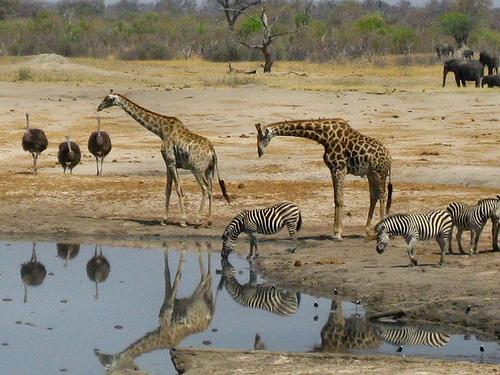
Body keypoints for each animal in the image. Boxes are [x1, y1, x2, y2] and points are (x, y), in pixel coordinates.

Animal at [96, 89, 231, 228]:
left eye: (108, 99)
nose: (98, 108)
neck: (161, 131)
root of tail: (212, 152)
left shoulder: (171, 161)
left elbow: (178, 189)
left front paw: (183, 220)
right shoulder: (168, 163)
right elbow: (168, 189)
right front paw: (164, 219)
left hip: (196, 169)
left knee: (205, 188)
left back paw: (198, 220)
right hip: (208, 170)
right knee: (211, 189)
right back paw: (209, 221)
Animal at [256, 119, 392, 239]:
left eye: (261, 137)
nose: (259, 152)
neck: (325, 137)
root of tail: (389, 156)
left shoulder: (339, 169)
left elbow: (339, 199)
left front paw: (337, 233)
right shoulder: (334, 169)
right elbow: (336, 199)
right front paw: (335, 232)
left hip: (380, 173)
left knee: (382, 195)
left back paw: (381, 229)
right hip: (371, 174)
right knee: (374, 196)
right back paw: (368, 230)